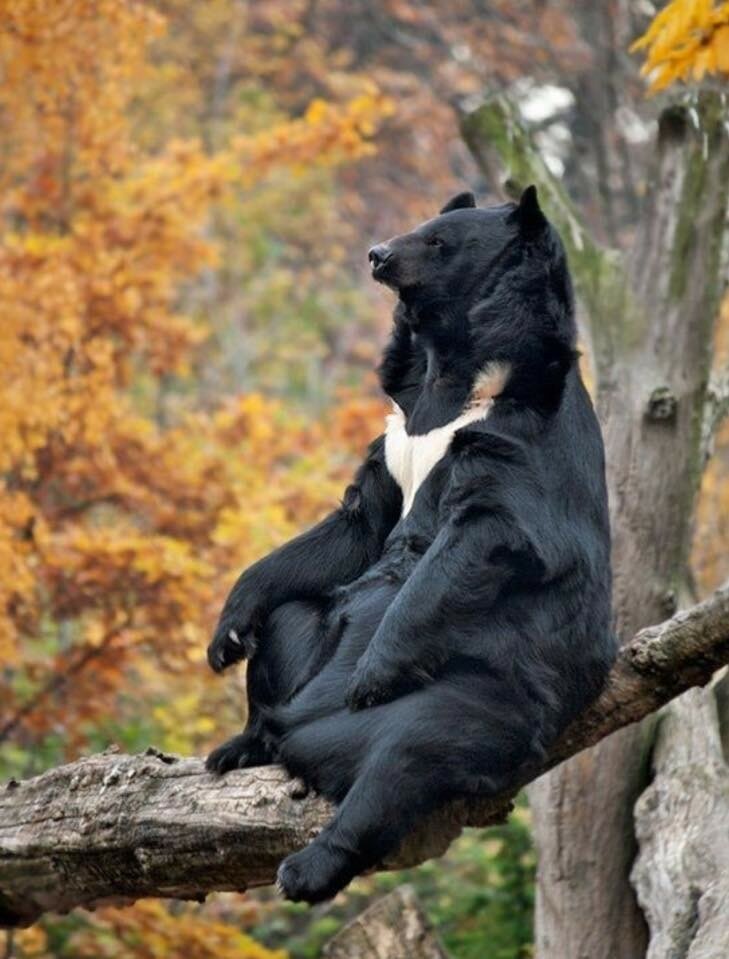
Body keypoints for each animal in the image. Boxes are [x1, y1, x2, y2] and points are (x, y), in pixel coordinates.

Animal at [206, 186, 615, 905]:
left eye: (437, 241)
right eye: (417, 226)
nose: (377, 254)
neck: (448, 374)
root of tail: (302, 738)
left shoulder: (514, 436)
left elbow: (483, 533)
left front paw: (370, 675)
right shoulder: (397, 439)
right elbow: (353, 521)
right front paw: (225, 635)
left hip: (493, 693)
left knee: (408, 754)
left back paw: (306, 867)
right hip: (311, 653)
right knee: (285, 625)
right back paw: (242, 743)